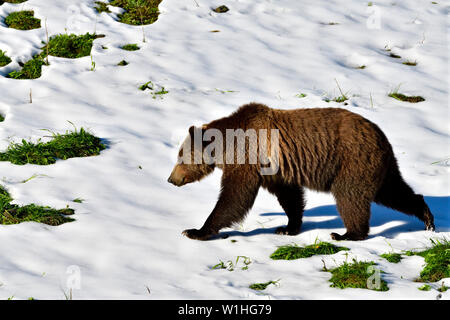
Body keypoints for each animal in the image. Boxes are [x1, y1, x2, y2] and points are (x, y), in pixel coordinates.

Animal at [167, 104, 434, 241]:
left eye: (180, 155)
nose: (171, 179)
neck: (227, 144)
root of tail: (380, 135)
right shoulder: (273, 169)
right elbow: (290, 197)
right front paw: (287, 227)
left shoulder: (249, 158)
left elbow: (234, 197)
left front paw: (195, 230)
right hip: (378, 166)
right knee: (394, 191)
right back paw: (427, 217)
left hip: (352, 161)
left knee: (350, 196)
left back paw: (346, 233)